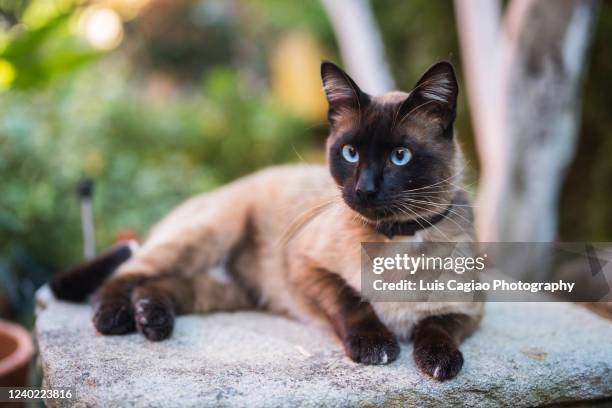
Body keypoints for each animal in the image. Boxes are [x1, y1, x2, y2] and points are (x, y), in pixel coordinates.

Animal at [51, 61, 482, 382]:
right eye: (350, 152)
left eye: (400, 157)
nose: (364, 190)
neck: (398, 238)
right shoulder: (305, 267)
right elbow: (352, 301)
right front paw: (376, 345)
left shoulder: (468, 310)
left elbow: (438, 327)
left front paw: (440, 361)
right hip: (211, 233)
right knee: (125, 274)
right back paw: (115, 317)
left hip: (229, 291)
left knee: (158, 285)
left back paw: (151, 319)